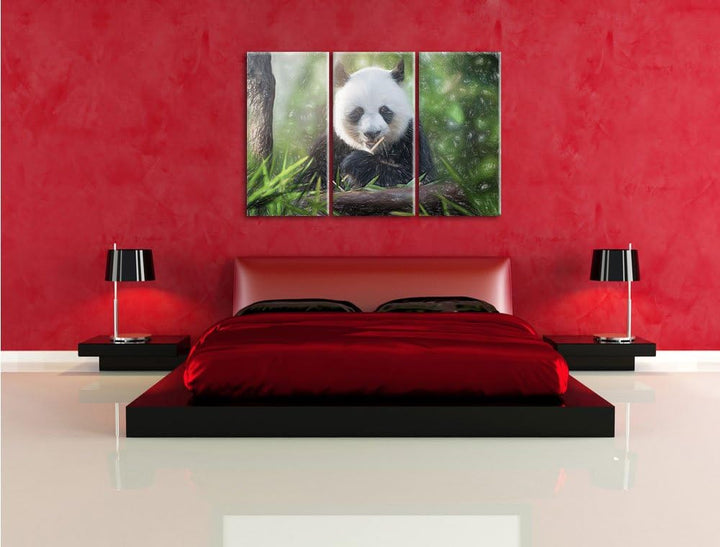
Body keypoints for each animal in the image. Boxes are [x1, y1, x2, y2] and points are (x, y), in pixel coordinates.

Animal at [296, 58, 435, 191]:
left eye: (384, 110)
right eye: (358, 111)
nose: (372, 133)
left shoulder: (410, 138)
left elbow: (418, 176)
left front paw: (355, 162)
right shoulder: (331, 144)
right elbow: (308, 179)